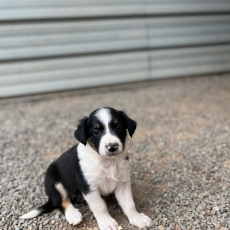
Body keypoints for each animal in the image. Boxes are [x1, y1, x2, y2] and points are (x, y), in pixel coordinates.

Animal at [20, 108, 152, 230]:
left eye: (119, 127)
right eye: (95, 132)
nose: (112, 147)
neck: (107, 162)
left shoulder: (122, 183)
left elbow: (129, 203)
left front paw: (137, 218)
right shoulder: (89, 187)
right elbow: (100, 206)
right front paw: (107, 223)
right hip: (53, 180)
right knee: (60, 201)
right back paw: (73, 214)